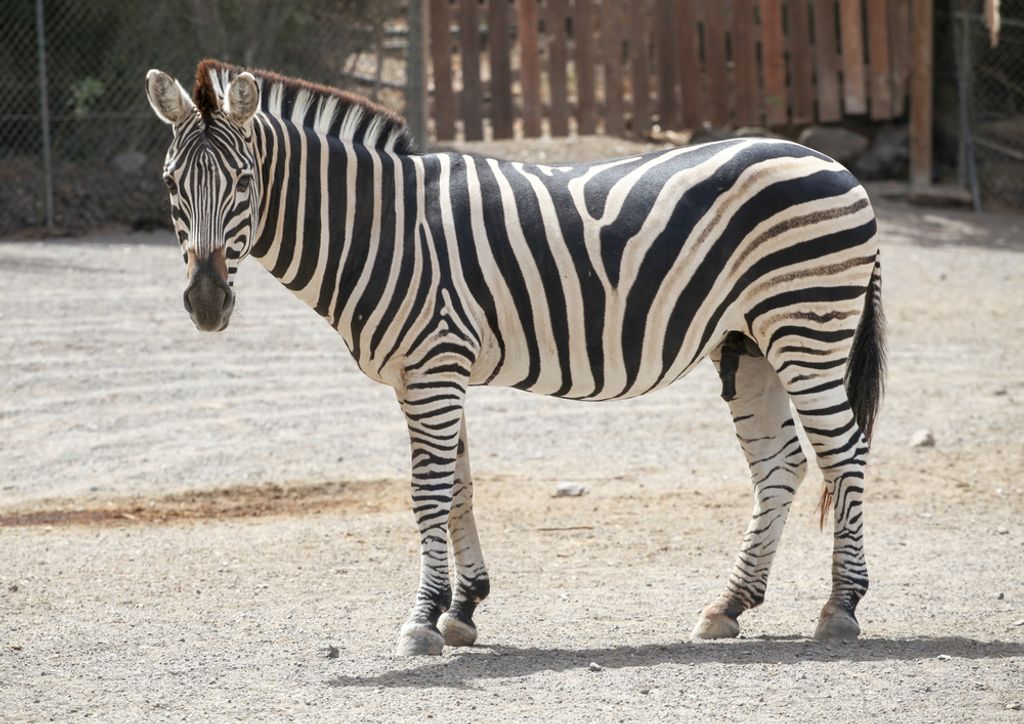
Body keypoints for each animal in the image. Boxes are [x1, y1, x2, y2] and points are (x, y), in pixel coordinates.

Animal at [145, 60, 885, 656]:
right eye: (171, 182)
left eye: (244, 181)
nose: (206, 303)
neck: (380, 228)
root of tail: (834, 164)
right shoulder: (426, 374)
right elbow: (458, 487)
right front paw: (463, 608)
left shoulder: (434, 366)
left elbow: (428, 491)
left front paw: (422, 619)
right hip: (748, 343)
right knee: (780, 465)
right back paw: (728, 606)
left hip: (807, 328)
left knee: (843, 453)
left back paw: (841, 607)